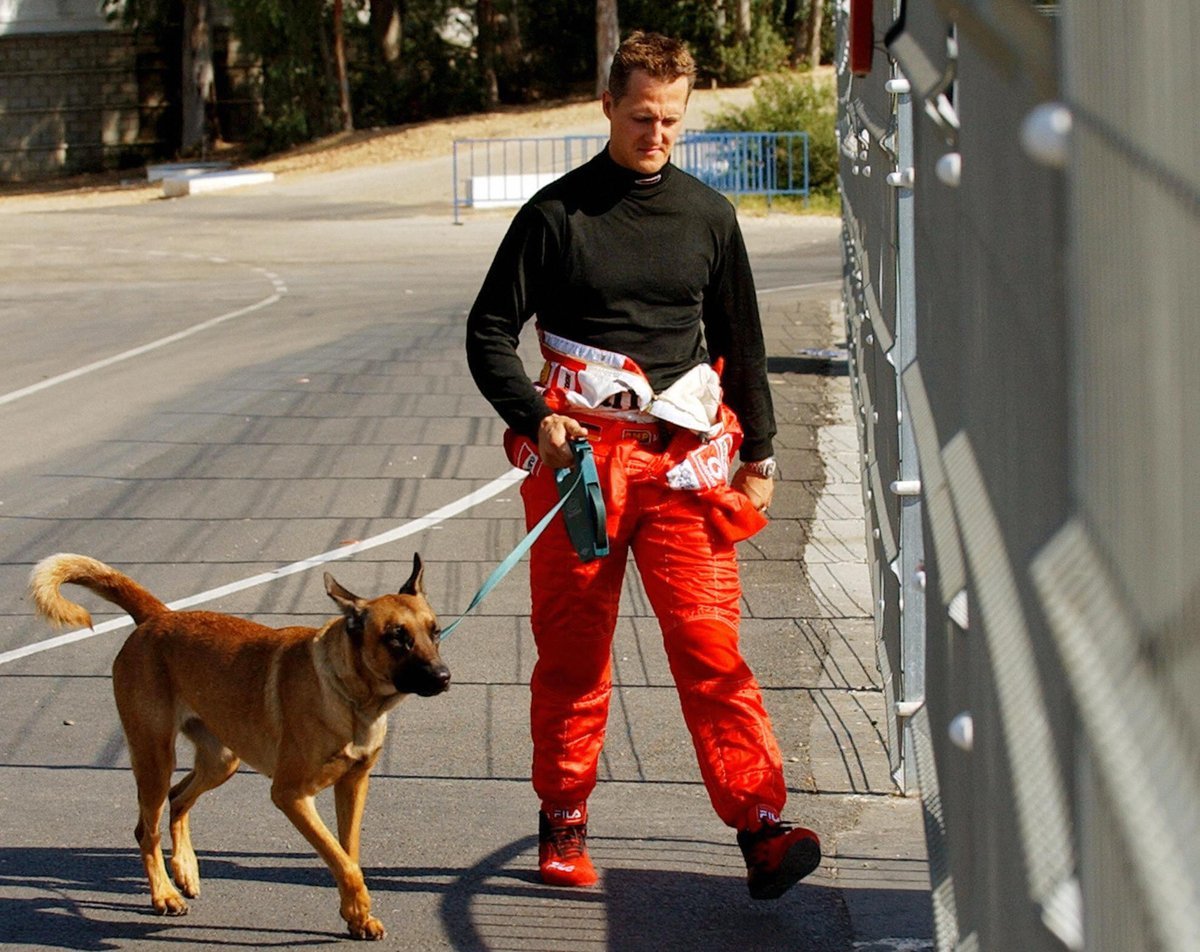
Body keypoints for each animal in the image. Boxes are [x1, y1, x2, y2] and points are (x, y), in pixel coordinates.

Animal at [28, 552, 451, 941]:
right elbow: (341, 859)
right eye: (396, 637)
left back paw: (185, 869)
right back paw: (164, 893)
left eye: (435, 632)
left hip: (221, 760)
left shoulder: (353, 785)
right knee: (148, 831)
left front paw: (357, 915)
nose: (444, 677)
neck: (349, 694)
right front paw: (359, 906)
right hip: (155, 757)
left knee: (177, 800)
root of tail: (157, 617)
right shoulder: (291, 795)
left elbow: (348, 854)